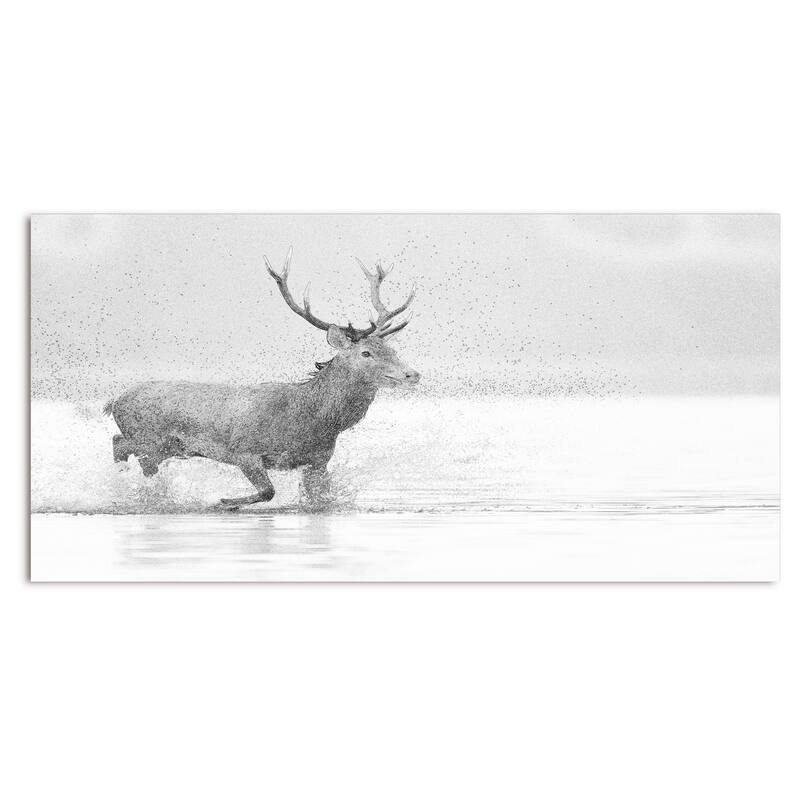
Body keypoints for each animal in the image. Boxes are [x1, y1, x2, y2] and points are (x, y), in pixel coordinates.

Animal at [102, 247, 419, 508]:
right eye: (366, 353)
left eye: (392, 349)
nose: (412, 374)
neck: (312, 422)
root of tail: (114, 401)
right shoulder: (244, 450)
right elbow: (268, 492)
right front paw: (223, 502)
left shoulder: (318, 462)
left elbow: (320, 499)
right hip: (150, 440)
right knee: (122, 446)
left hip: (166, 447)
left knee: (123, 447)